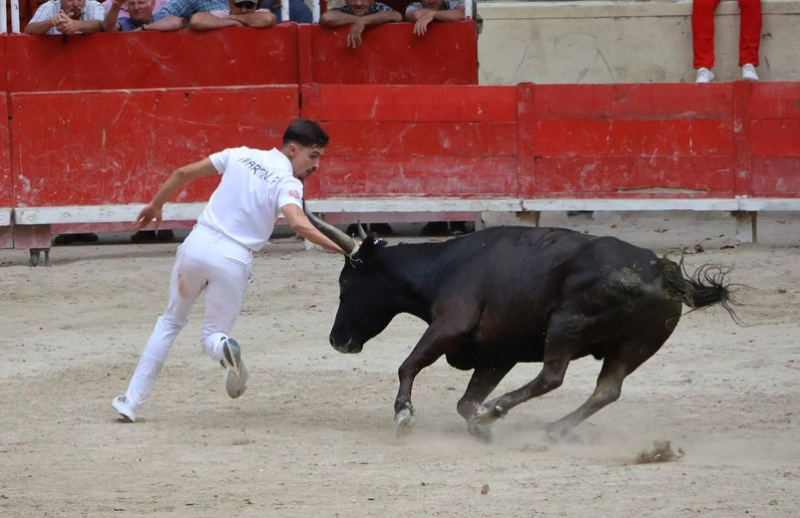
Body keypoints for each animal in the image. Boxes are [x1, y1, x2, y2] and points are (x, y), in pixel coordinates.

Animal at [306, 211, 736, 442]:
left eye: (345, 283)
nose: (337, 339)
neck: (442, 267)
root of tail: (660, 269)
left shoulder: (451, 324)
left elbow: (408, 365)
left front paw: (404, 415)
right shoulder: (498, 352)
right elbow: (464, 402)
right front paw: (479, 429)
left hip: (567, 324)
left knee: (553, 376)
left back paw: (498, 409)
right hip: (636, 346)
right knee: (606, 390)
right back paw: (552, 429)